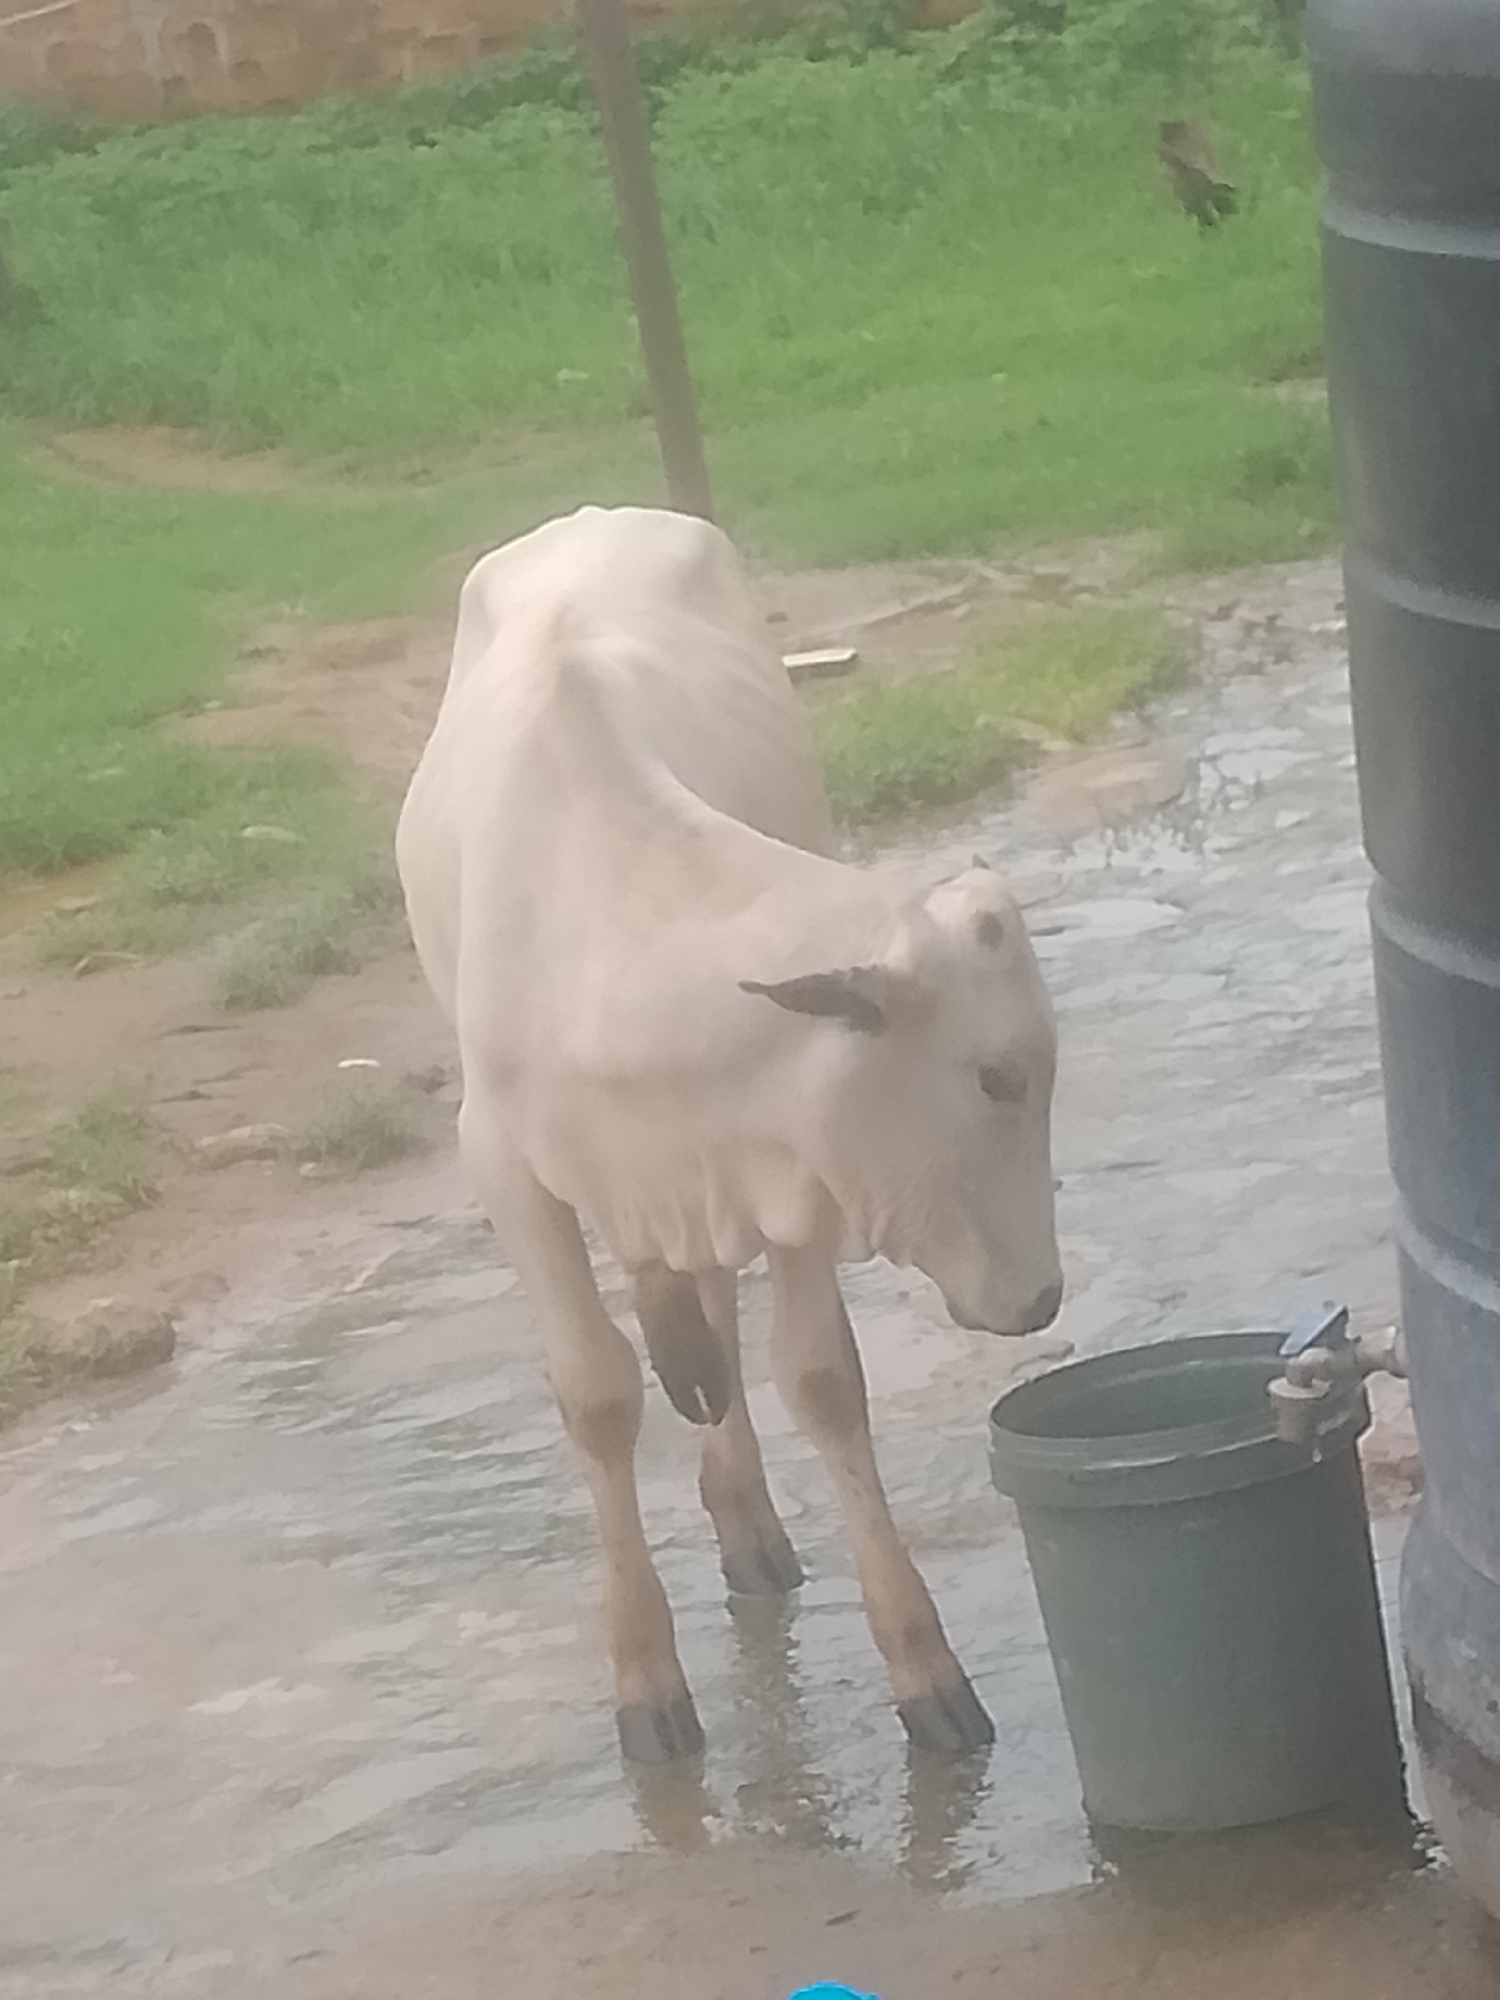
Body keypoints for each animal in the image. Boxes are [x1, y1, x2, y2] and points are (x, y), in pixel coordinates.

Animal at [396, 505, 1062, 1764]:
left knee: (707, 1306)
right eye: (998, 1076)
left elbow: (819, 1376)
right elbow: (597, 1394)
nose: (1043, 1297)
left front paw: (924, 1666)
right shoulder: (504, 1162)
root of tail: (594, 515)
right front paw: (644, 1681)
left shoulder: (784, 1157)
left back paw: (743, 1509)